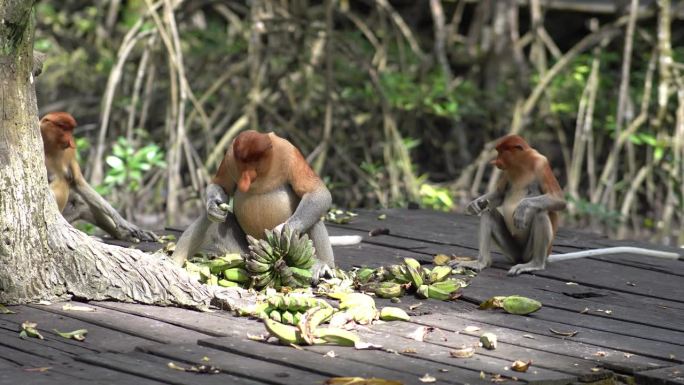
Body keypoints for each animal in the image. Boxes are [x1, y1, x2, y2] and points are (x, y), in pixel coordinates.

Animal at [40, 111, 158, 242]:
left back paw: (124, 235)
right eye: (63, 128)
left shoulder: (69, 153)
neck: (50, 148)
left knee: (82, 204)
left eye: (70, 130)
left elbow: (79, 183)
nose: (71, 142)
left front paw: (122, 221)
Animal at [171, 129, 352, 282]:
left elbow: (317, 192)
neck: (268, 165)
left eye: (253, 163)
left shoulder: (290, 154)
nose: (245, 179)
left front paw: (284, 230)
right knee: (211, 222)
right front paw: (213, 206)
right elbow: (220, 185)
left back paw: (322, 265)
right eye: (243, 164)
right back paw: (173, 264)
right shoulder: (230, 156)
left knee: (314, 220)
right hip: (243, 251)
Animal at [454, 134, 568, 274]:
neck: (521, 164)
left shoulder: (541, 164)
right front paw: (473, 205)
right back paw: (481, 262)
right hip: (513, 252)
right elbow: (500, 194)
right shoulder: (507, 170)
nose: (495, 161)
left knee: (539, 213)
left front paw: (522, 208)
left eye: (502, 152)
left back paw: (536, 264)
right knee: (488, 213)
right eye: (498, 151)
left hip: (529, 253)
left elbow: (559, 200)